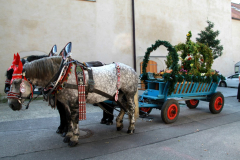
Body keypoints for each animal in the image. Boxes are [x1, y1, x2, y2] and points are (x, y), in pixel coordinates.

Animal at [7, 43, 137, 146]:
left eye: (16, 82)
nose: (11, 105)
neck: (63, 74)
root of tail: (132, 69)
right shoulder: (65, 103)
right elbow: (68, 118)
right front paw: (68, 135)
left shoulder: (74, 102)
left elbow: (74, 119)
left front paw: (74, 138)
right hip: (118, 94)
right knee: (123, 107)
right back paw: (119, 123)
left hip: (129, 93)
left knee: (131, 108)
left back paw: (131, 128)